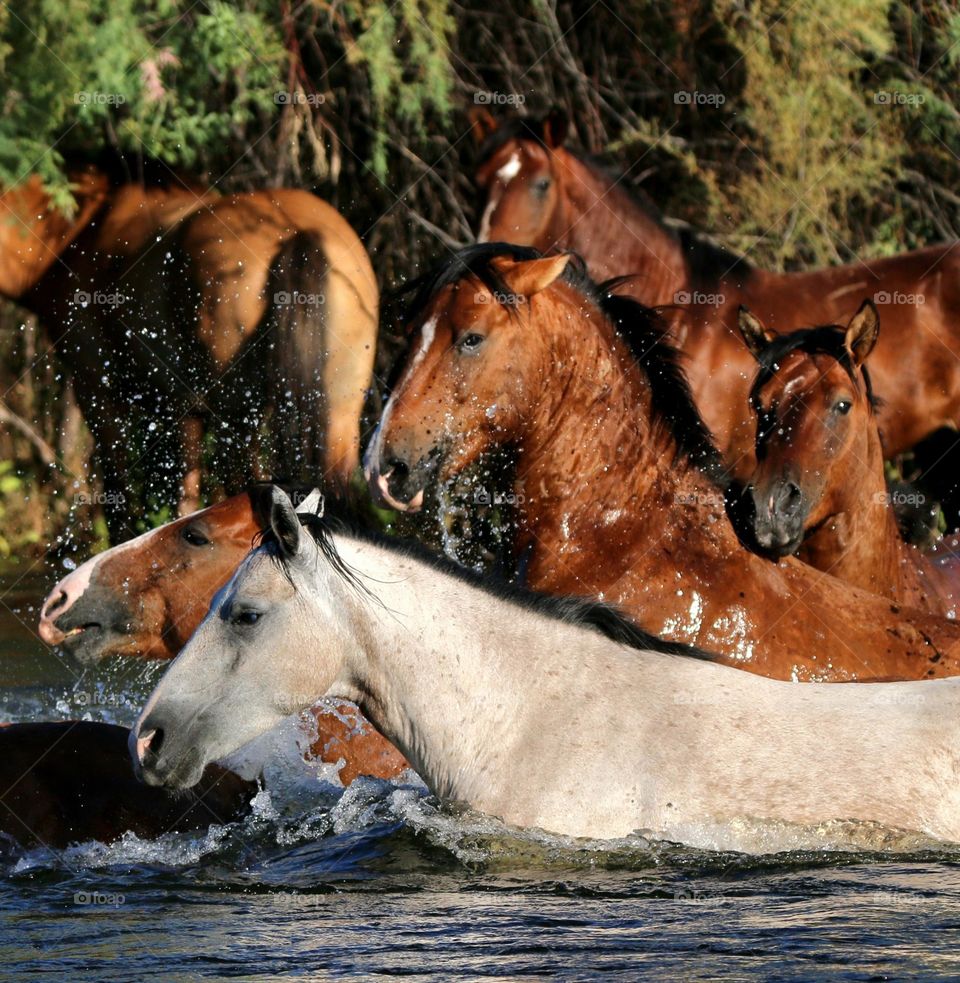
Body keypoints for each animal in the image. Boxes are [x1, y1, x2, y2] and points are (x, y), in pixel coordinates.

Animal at [0, 163, 378, 532]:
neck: (77, 234)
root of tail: (298, 234)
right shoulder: (183, 410)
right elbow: (185, 499)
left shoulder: (97, 392)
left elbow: (121, 501)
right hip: (339, 416)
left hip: (237, 418)